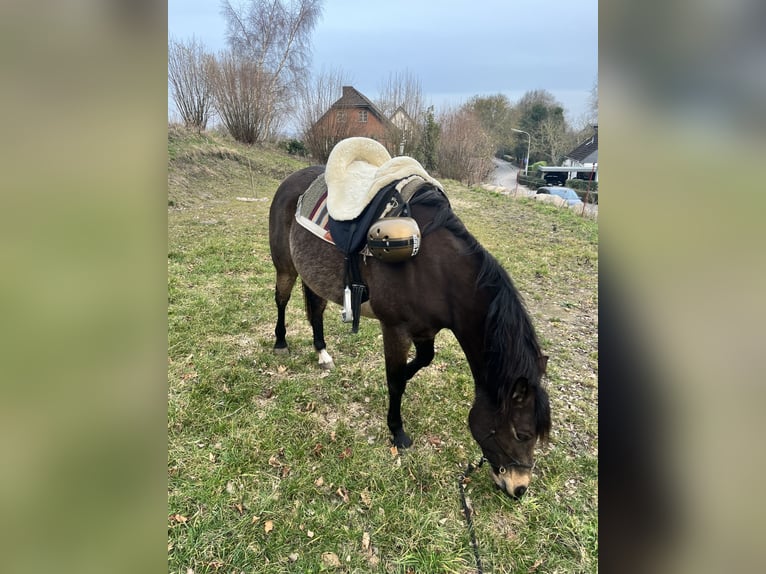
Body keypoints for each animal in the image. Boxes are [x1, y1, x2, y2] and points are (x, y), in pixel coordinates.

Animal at [268, 164, 551, 498]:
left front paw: (404, 377)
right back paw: (281, 341)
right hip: (285, 266)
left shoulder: (425, 330)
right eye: (522, 434)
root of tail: (291, 179)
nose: (519, 488)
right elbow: (395, 382)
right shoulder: (396, 329)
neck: (437, 272)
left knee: (316, 309)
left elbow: (421, 362)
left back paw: (322, 352)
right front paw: (397, 431)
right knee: (282, 299)